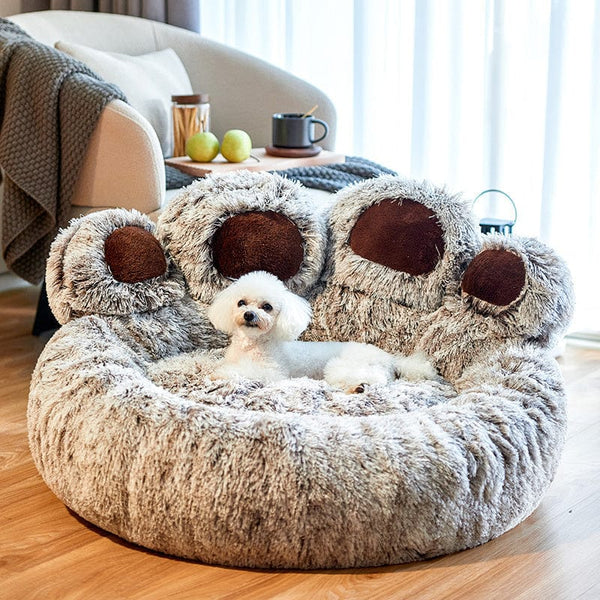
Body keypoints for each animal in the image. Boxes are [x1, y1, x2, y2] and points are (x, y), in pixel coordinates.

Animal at [206, 272, 436, 394]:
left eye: (267, 307)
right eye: (241, 302)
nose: (249, 315)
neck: (251, 344)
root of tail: (390, 358)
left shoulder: (273, 373)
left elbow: (245, 371)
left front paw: (221, 373)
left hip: (344, 365)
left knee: (377, 378)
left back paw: (360, 386)